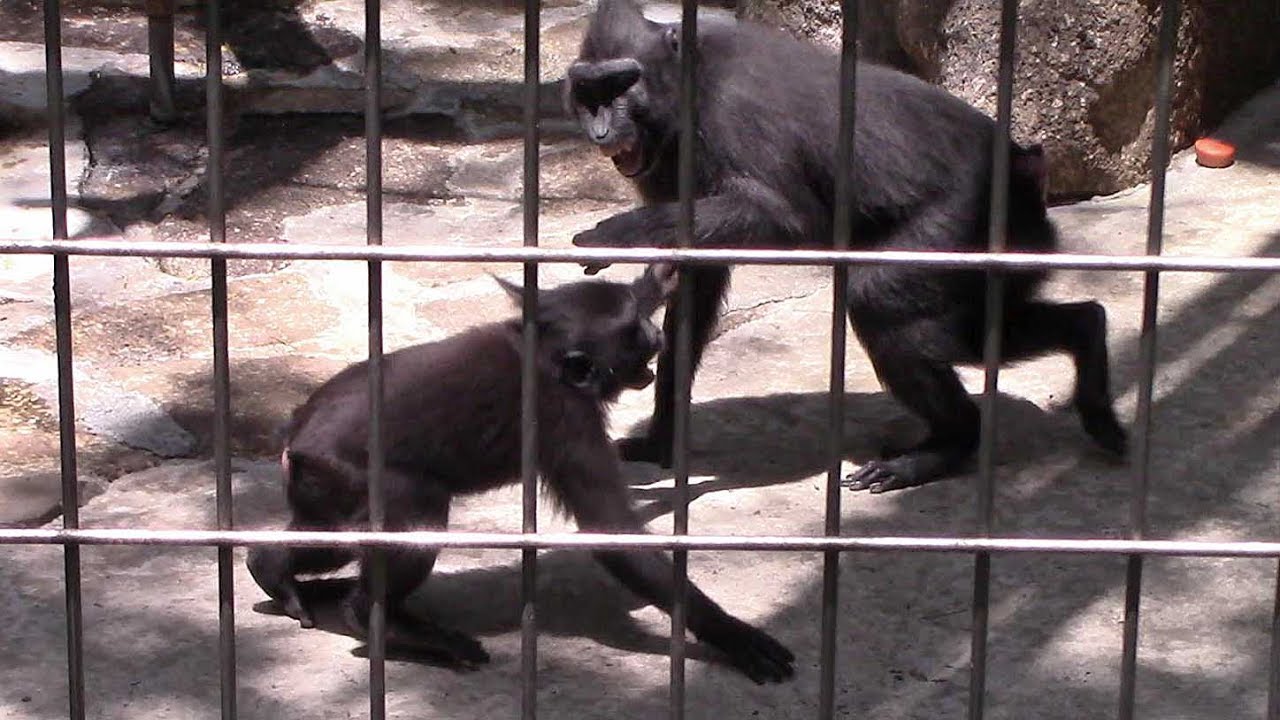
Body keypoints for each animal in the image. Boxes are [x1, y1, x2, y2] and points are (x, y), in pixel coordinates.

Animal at [245, 265, 796, 683]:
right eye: (635, 335)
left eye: (641, 319)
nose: (656, 335)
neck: (546, 358)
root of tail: (294, 441)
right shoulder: (567, 419)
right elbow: (612, 531)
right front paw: (728, 632)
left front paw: (663, 272)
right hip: (352, 477)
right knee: (415, 519)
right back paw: (381, 620)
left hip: (324, 491)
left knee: (329, 537)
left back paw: (271, 569)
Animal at [563, 0, 1127, 493]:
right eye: (588, 91)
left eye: (620, 84)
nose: (601, 125)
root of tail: (1029, 173)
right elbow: (695, 280)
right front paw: (661, 440)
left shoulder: (734, 109)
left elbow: (782, 216)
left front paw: (614, 234)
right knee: (990, 326)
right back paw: (1085, 344)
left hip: (964, 226)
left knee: (883, 302)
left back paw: (945, 445)